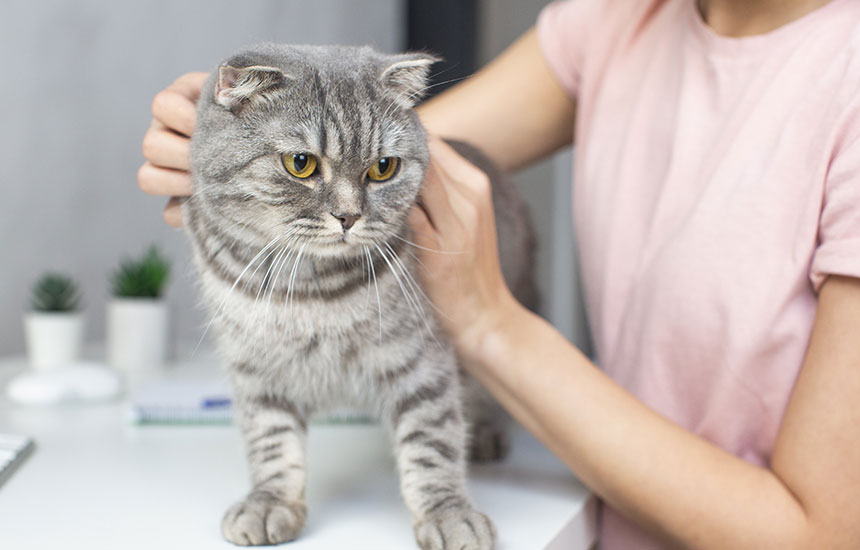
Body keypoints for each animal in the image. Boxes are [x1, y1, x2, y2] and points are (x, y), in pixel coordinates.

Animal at [184, 44, 536, 550]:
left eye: (383, 168)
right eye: (301, 163)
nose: (348, 216)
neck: (308, 289)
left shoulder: (421, 359)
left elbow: (432, 442)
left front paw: (448, 514)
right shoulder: (255, 369)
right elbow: (270, 440)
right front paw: (270, 502)